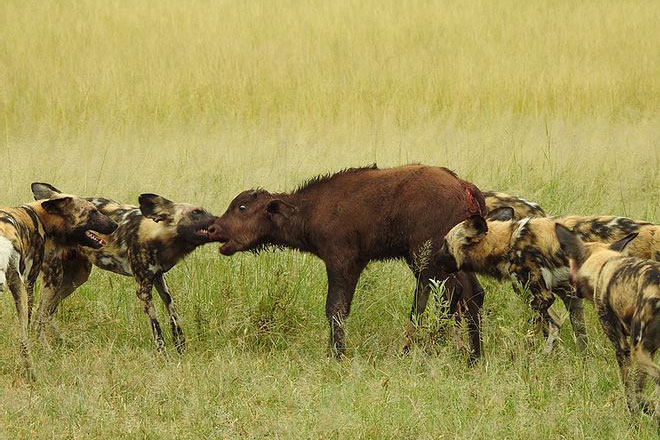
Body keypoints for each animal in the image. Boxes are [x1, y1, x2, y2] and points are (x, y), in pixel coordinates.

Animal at [0, 184, 117, 380]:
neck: (40, 218)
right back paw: (32, 371)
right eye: (92, 212)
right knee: (28, 334)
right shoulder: (32, 282)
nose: (115, 225)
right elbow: (35, 321)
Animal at [34, 190, 217, 354]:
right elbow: (156, 327)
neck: (157, 234)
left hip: (74, 279)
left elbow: (173, 313)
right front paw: (163, 354)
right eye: (196, 212)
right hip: (54, 279)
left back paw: (62, 342)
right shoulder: (143, 290)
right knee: (41, 313)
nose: (219, 219)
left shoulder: (159, 278)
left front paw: (180, 348)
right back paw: (45, 347)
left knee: (47, 313)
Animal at [209, 163, 488, 362]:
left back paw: (433, 347)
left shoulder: (342, 262)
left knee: (452, 294)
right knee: (472, 294)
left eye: (242, 207)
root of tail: (464, 186)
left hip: (429, 258)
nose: (213, 229)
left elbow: (335, 309)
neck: (308, 210)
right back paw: (471, 356)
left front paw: (336, 354)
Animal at [436, 209, 656, 354]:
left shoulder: (541, 296)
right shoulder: (565, 295)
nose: (433, 259)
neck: (508, 242)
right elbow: (569, 332)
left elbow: (533, 334)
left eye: (445, 244)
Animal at [556, 225, 660, 424]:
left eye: (571, 265)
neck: (603, 264)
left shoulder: (623, 347)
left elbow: (631, 391)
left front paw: (636, 414)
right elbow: (638, 387)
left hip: (638, 352)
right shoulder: (648, 351)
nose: (570, 286)